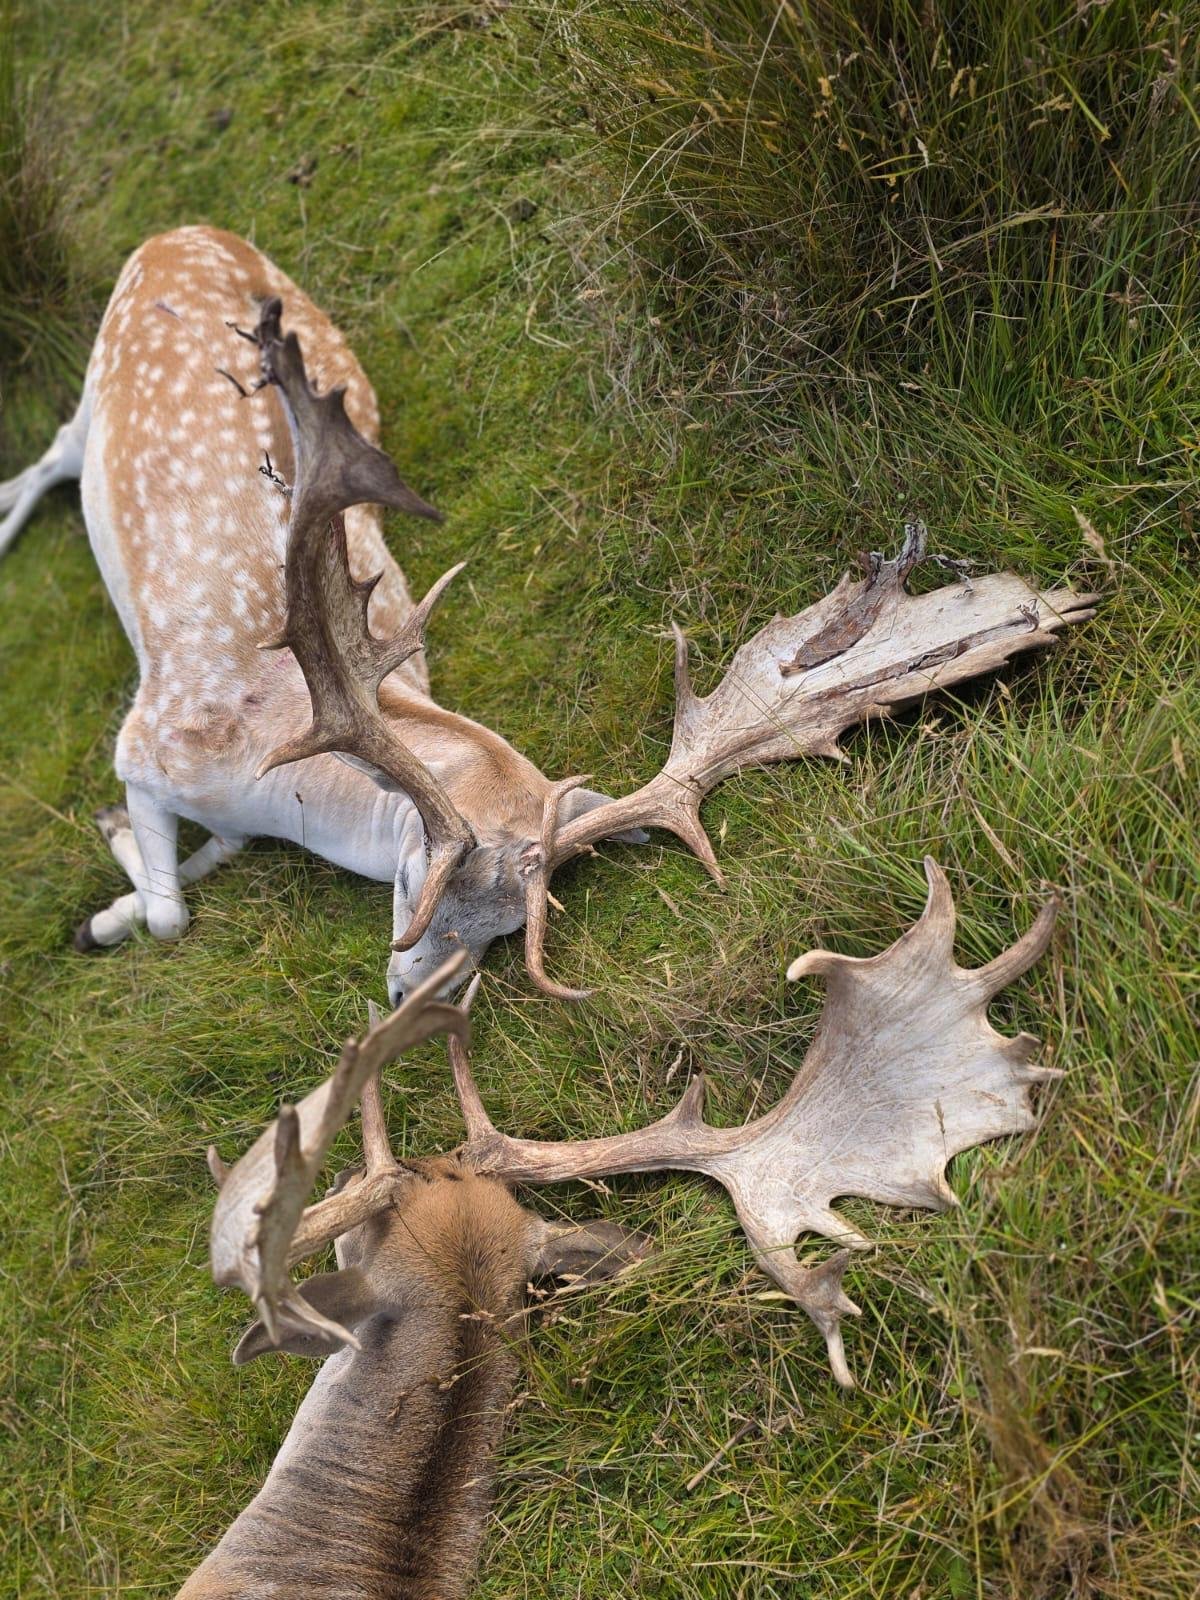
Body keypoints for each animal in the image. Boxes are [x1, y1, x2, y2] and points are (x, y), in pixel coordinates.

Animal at [0, 226, 1096, 1004]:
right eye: (424, 889)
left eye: (500, 933)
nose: (410, 996)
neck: (273, 761)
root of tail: (182, 227)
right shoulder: (147, 738)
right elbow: (171, 915)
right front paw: (116, 895)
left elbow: (190, 876)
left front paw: (119, 893)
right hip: (97, 383)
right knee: (52, 450)